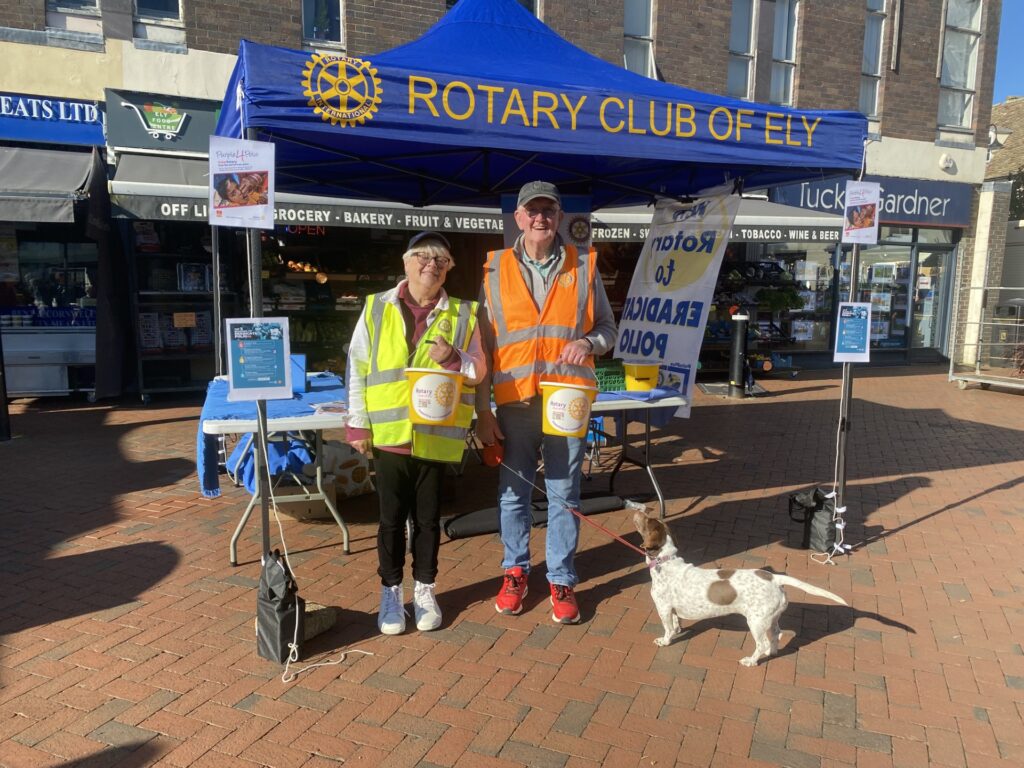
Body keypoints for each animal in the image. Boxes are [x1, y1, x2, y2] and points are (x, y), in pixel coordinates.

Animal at [630, 514, 847, 663]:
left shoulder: (663, 608)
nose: (635, 509)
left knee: (762, 643)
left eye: (646, 519)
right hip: (771, 619)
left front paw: (664, 641)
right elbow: (676, 624)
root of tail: (774, 577)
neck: (664, 562)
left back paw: (751, 661)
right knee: (776, 635)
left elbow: (667, 629)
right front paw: (677, 630)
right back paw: (771, 653)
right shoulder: (673, 610)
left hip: (756, 622)